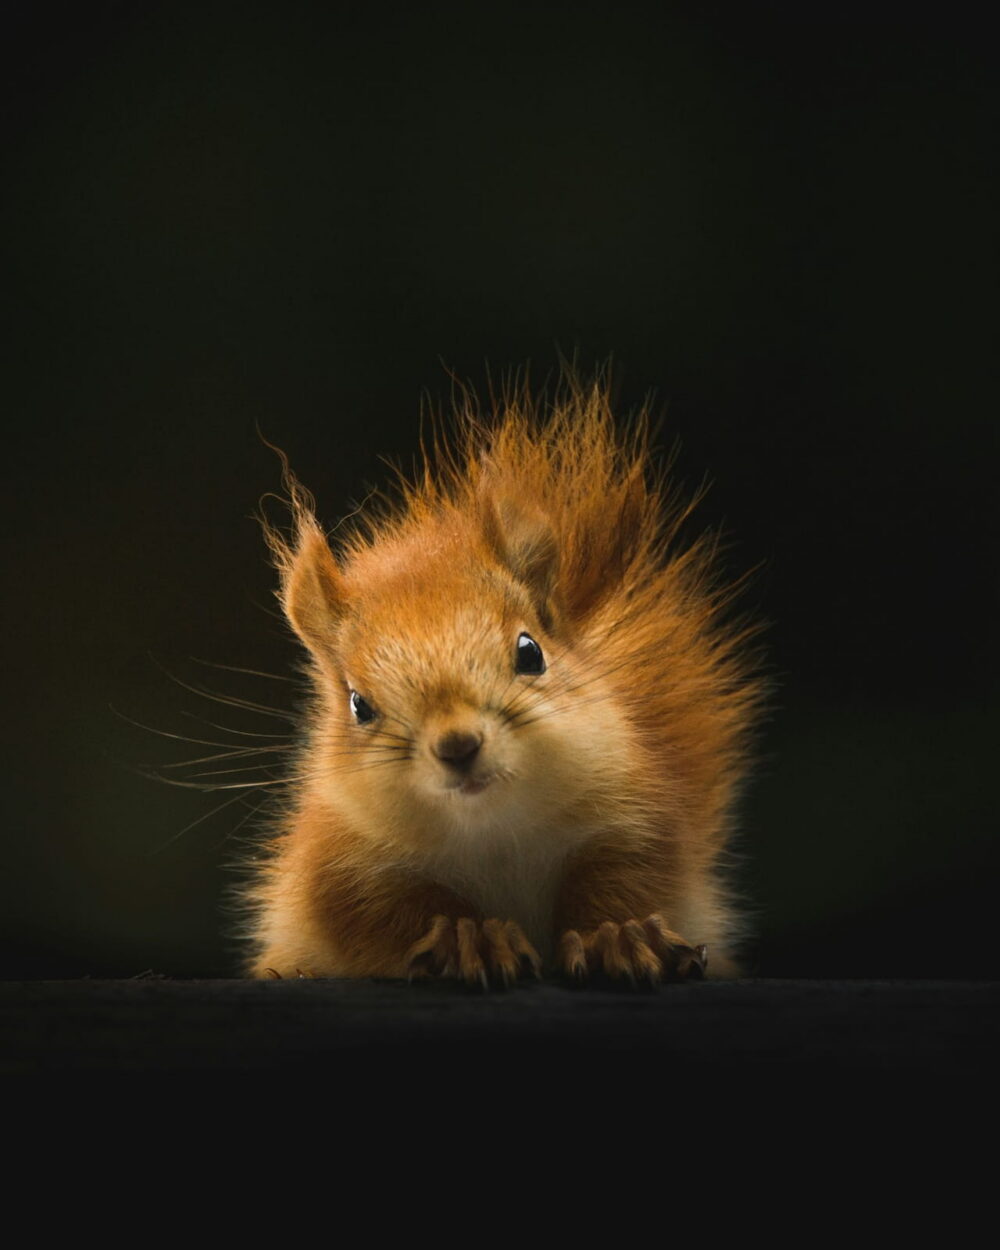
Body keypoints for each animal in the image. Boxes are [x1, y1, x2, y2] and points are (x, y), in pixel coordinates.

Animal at [242, 373, 765, 985]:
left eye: (530, 652)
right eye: (358, 705)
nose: (457, 745)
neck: (492, 830)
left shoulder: (634, 817)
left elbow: (626, 880)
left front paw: (618, 935)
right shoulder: (342, 866)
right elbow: (387, 915)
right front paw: (471, 938)